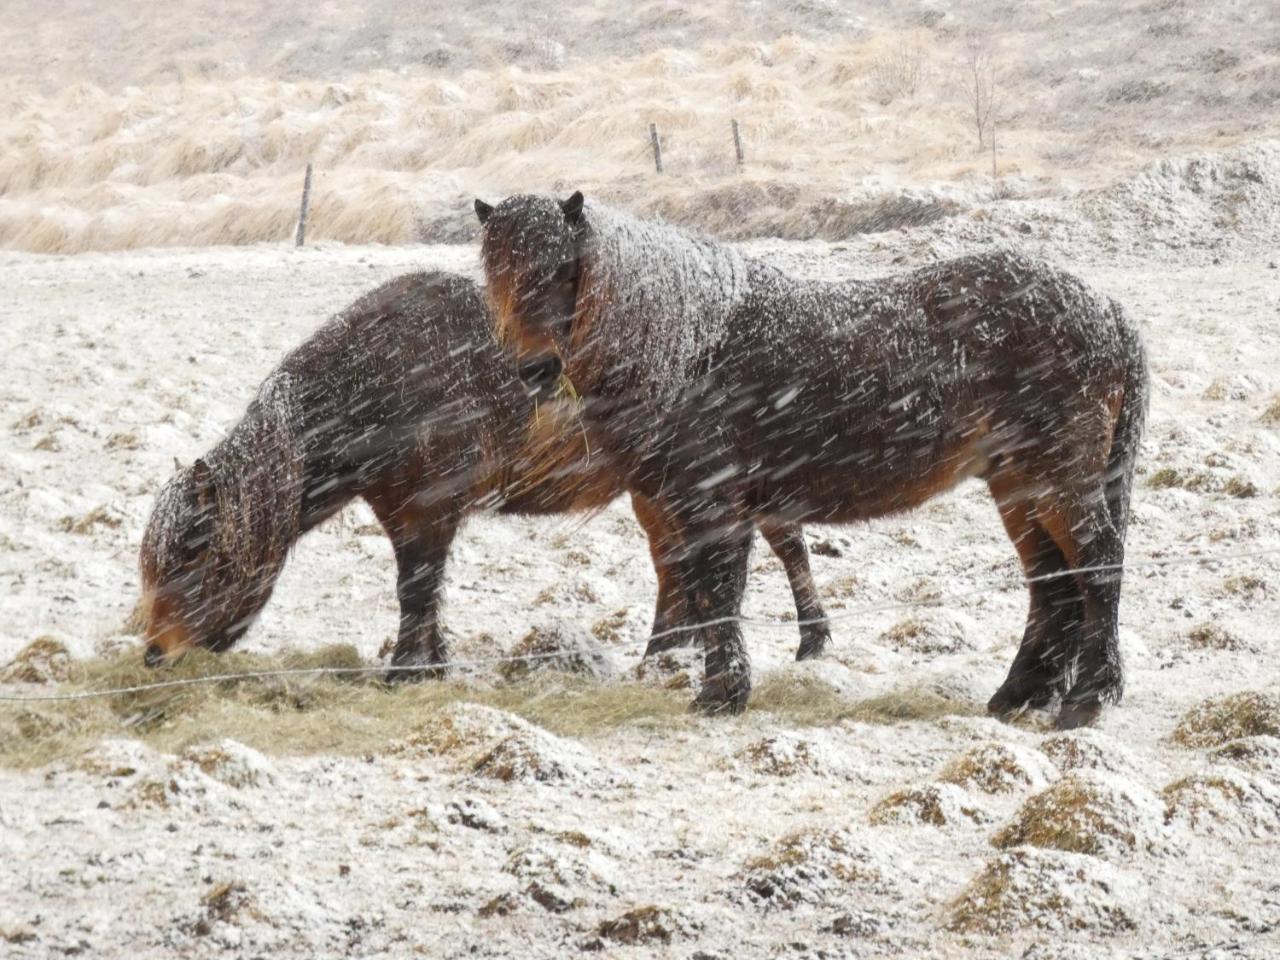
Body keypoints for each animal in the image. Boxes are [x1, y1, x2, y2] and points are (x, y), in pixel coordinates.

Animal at [137, 268, 829, 675]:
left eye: (195, 551)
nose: (154, 653)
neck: (378, 380)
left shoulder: (427, 510)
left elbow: (416, 589)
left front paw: (407, 672)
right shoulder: (404, 513)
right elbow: (423, 592)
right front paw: (431, 664)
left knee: (784, 545)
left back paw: (811, 642)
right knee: (675, 566)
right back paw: (664, 654)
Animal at [478, 192, 1152, 727]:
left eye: (565, 269)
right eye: (494, 274)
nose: (536, 370)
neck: (691, 347)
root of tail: (1107, 309)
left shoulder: (713, 505)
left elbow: (718, 596)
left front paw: (722, 695)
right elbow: (702, 593)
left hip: (1061, 480)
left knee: (1097, 569)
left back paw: (1088, 698)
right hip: (1019, 485)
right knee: (1052, 584)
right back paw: (1021, 693)